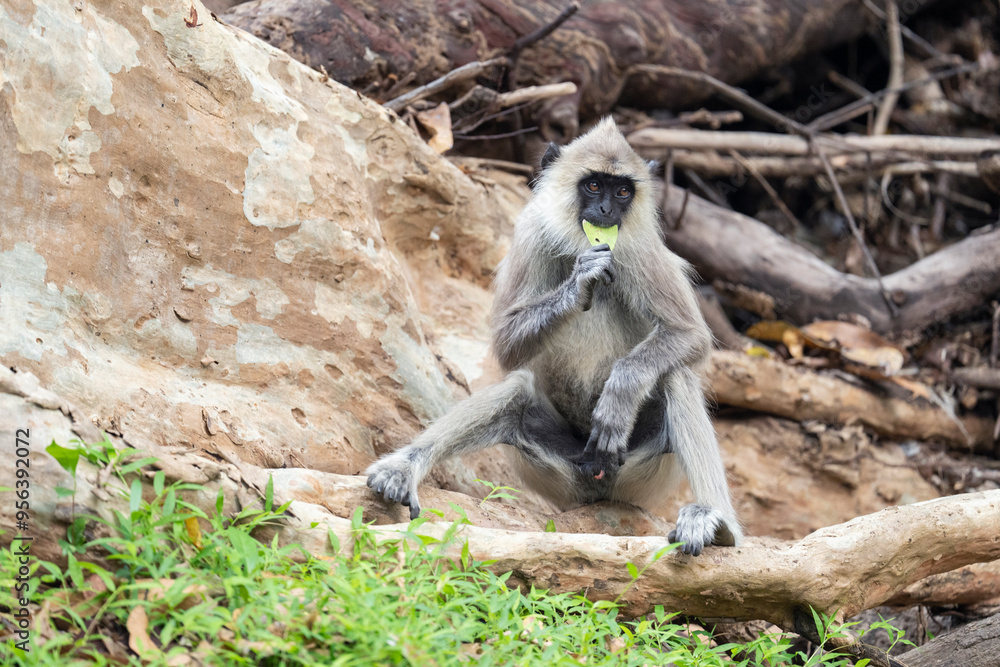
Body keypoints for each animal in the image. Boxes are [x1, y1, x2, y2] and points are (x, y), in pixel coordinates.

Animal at [366, 117, 742, 556]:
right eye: (594, 186)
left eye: (623, 191)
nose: (606, 211)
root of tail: (597, 491)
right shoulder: (531, 233)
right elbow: (507, 348)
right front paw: (580, 283)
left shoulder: (642, 247)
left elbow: (690, 335)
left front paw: (620, 392)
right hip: (563, 469)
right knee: (516, 392)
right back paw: (404, 467)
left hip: (641, 473)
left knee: (675, 376)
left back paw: (718, 524)